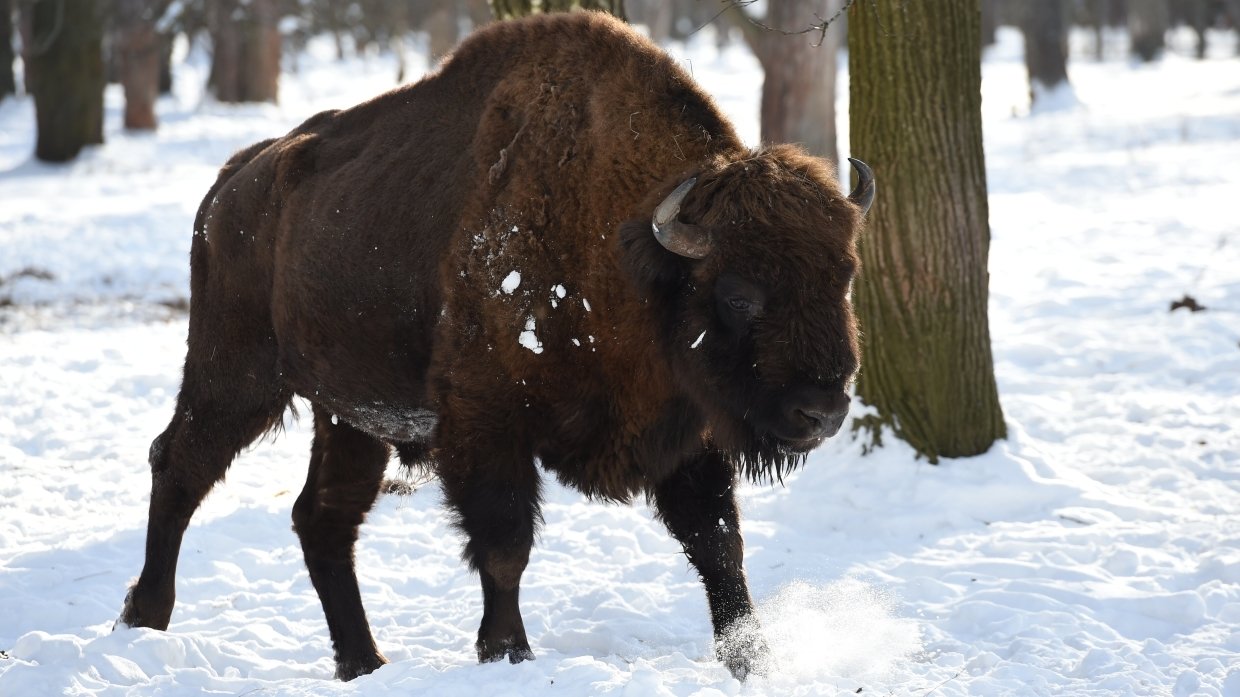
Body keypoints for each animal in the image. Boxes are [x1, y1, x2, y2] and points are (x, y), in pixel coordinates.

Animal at [116, 9, 872, 684]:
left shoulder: (685, 432)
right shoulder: (488, 423)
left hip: (350, 414)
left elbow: (717, 544)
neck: (628, 247)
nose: (822, 410)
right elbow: (506, 543)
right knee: (179, 463)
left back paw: (363, 661)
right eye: (740, 293)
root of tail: (230, 186)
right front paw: (508, 651)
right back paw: (143, 617)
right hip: (236, 373)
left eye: (844, 275)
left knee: (322, 516)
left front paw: (752, 659)